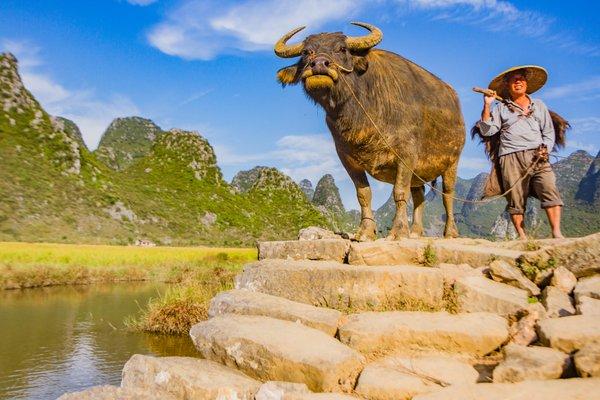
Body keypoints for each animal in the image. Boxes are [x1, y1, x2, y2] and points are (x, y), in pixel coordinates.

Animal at [274, 22, 466, 241]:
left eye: (342, 49)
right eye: (306, 52)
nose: (319, 64)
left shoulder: (406, 154)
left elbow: (400, 192)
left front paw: (399, 231)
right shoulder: (347, 158)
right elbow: (363, 194)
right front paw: (366, 231)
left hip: (452, 162)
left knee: (448, 194)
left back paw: (450, 232)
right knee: (419, 196)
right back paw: (416, 232)